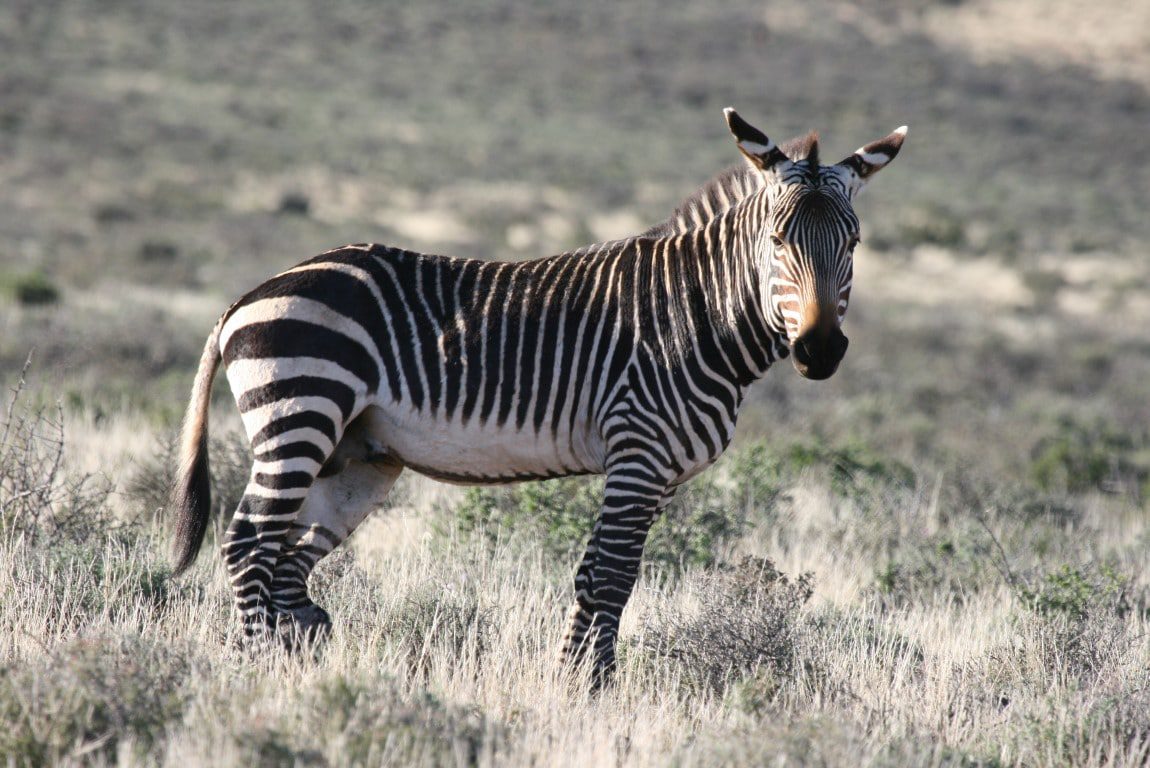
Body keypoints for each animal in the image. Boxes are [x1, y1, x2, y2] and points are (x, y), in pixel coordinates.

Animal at [168, 108, 906, 683]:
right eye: (777, 240)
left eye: (854, 242)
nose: (820, 350)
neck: (696, 314)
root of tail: (248, 295)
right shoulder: (637, 454)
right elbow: (610, 577)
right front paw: (590, 689)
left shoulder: (657, 472)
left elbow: (602, 575)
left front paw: (575, 680)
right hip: (300, 414)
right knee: (249, 544)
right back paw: (259, 667)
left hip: (359, 456)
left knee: (288, 561)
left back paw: (300, 650)